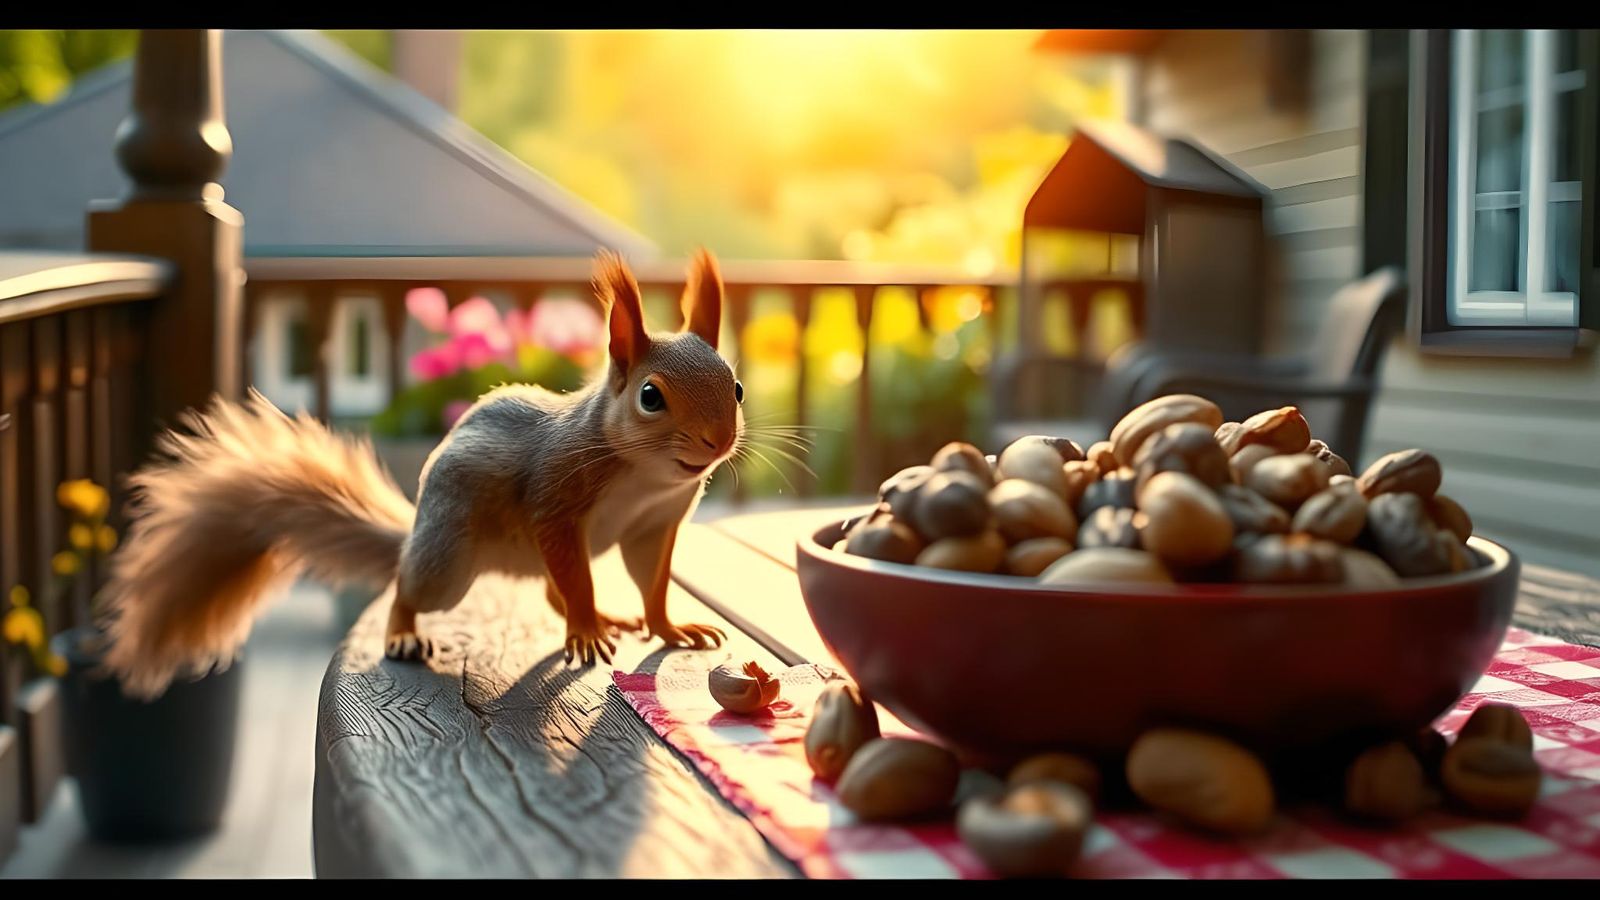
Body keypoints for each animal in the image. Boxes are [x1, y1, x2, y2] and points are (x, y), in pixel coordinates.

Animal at [99, 249, 743, 698]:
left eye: (735, 386)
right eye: (651, 397)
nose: (718, 441)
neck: (645, 476)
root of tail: (417, 529)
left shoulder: (654, 524)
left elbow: (651, 579)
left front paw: (670, 628)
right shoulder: (556, 499)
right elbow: (575, 574)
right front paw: (587, 628)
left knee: (547, 590)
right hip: (447, 562)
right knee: (412, 585)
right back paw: (403, 632)